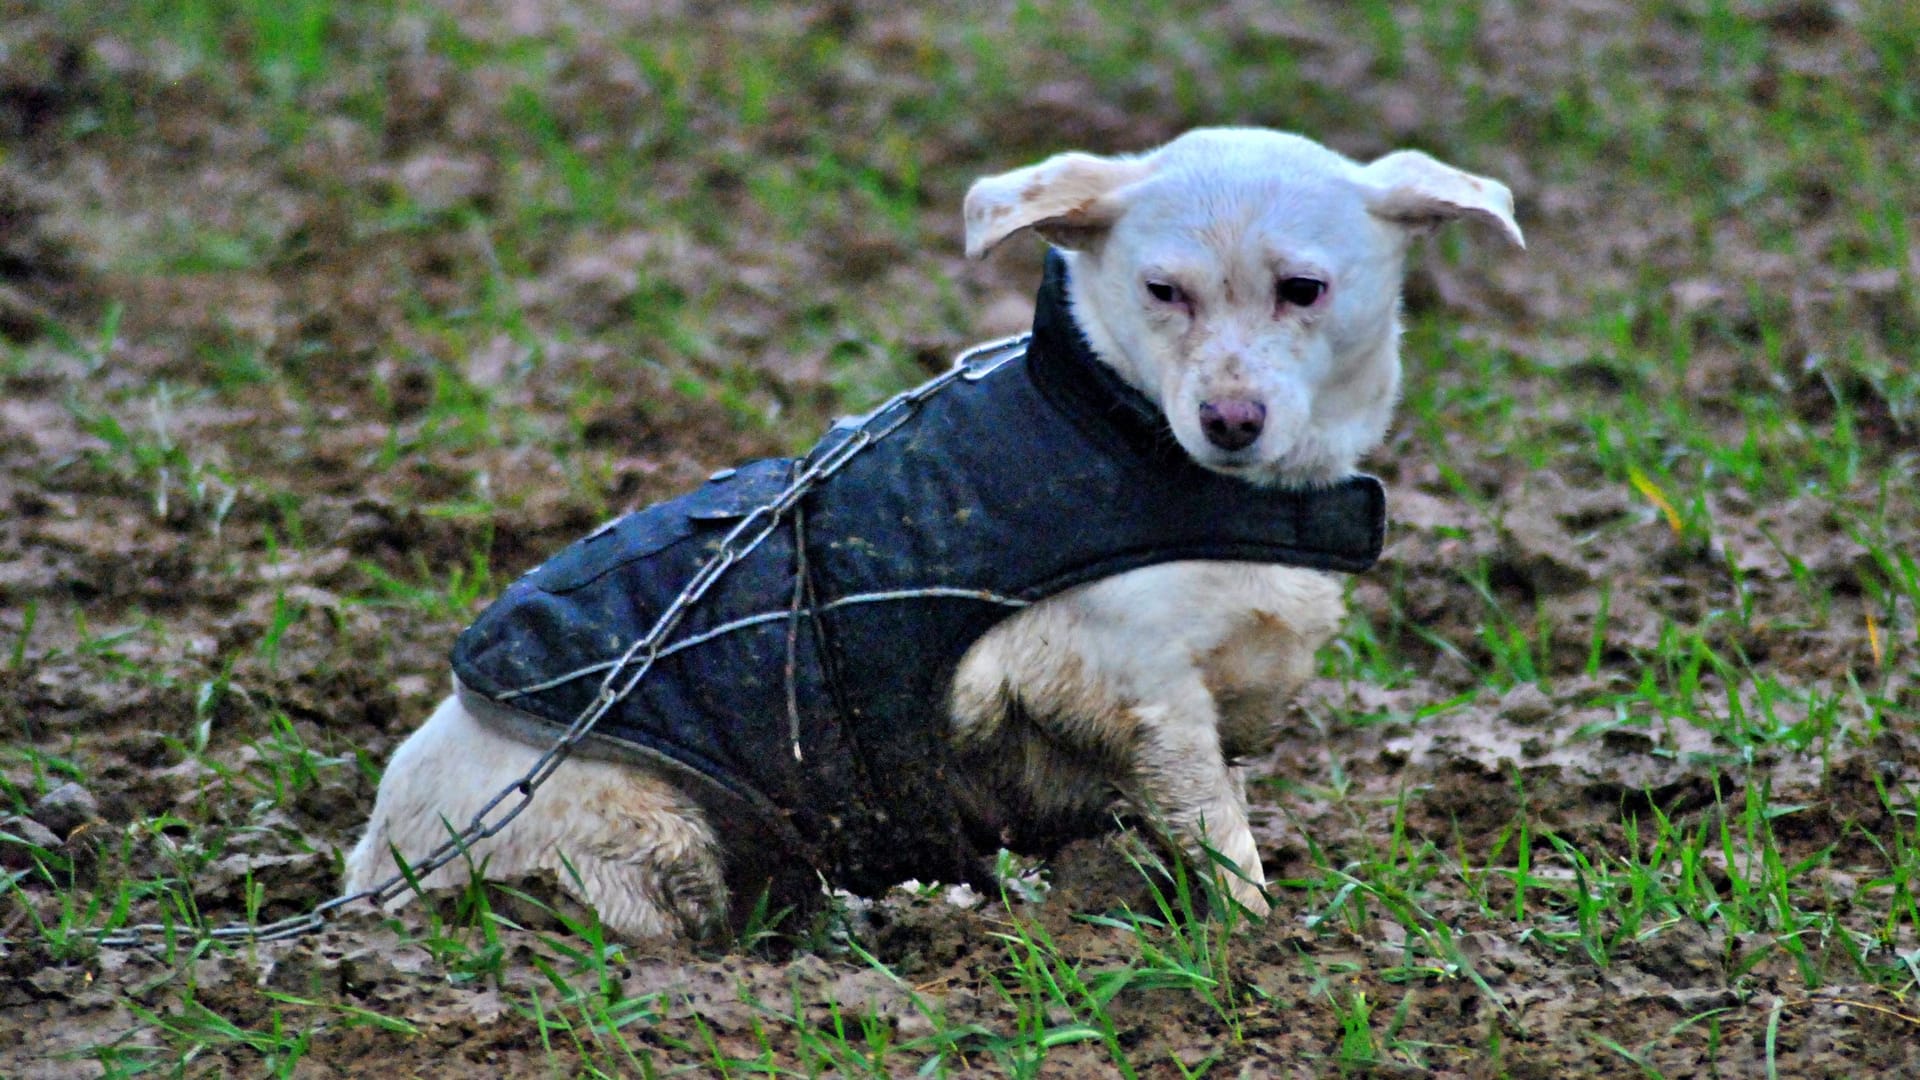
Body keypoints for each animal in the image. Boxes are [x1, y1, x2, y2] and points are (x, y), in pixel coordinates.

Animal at [341, 123, 1512, 933]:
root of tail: (370, 875)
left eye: (1304, 289)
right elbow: (1220, 833)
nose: (1230, 419)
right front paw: (1262, 944)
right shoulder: (1137, 691)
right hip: (646, 837)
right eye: (1161, 291)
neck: (1127, 433)